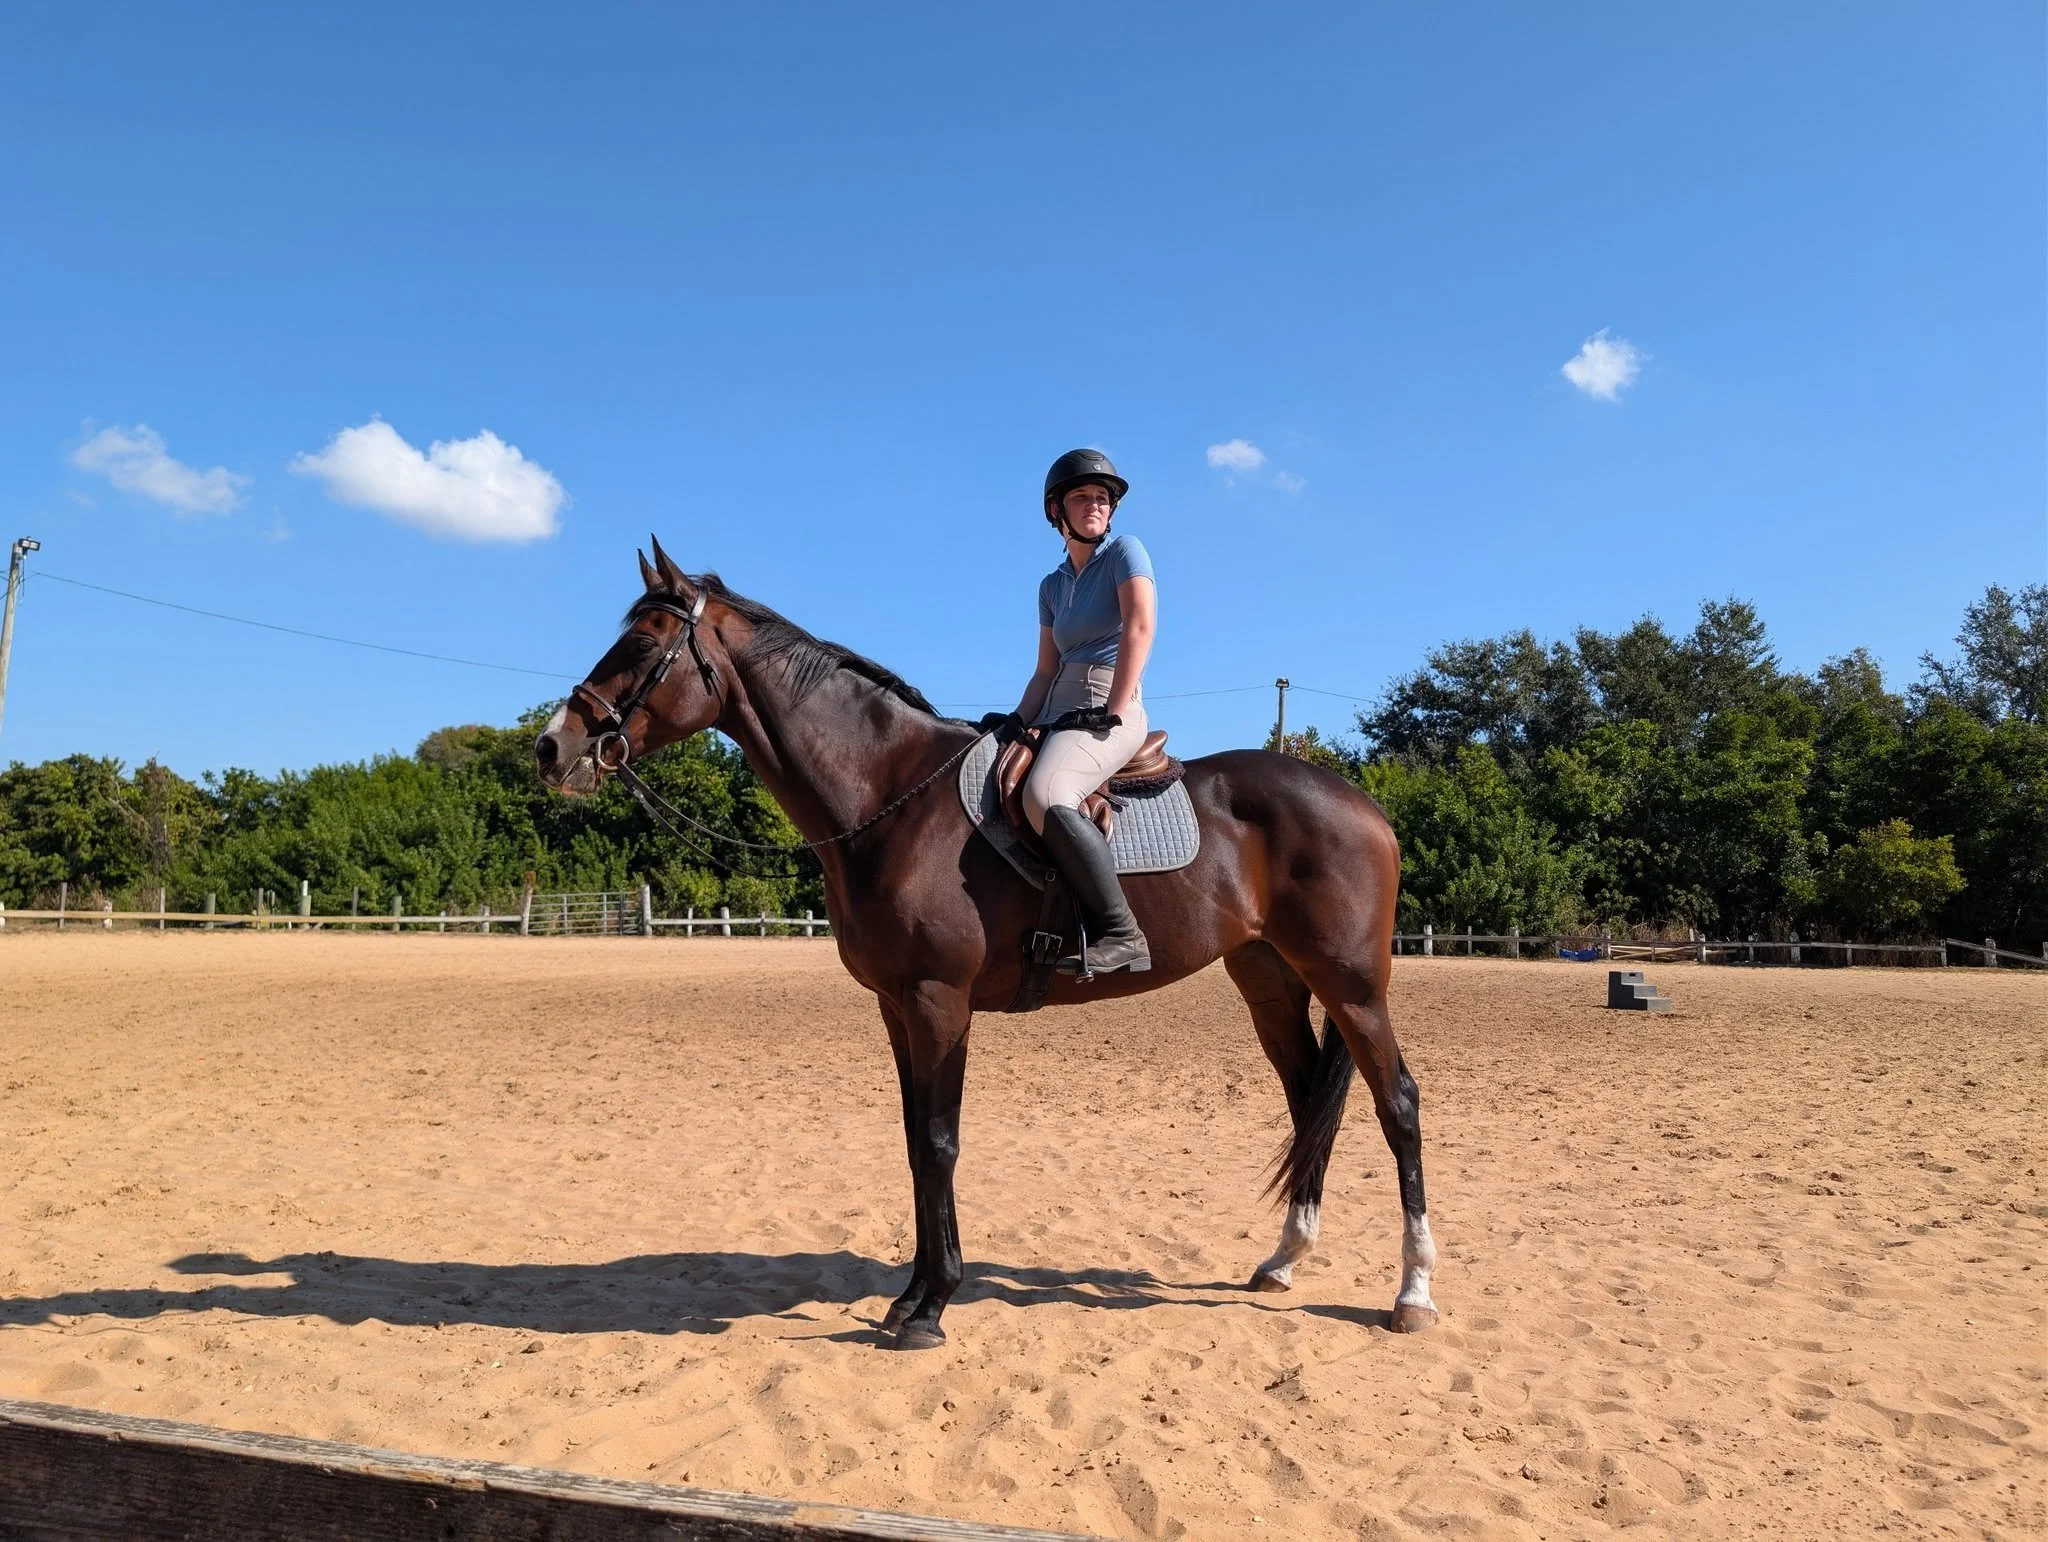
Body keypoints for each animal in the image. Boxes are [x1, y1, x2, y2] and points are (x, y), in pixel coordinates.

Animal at [534, 539, 1438, 1350]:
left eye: (642, 644)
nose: (553, 747)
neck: (892, 796)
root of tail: (1363, 804)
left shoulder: (940, 1001)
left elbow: (940, 1143)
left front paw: (931, 1307)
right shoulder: (897, 1007)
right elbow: (913, 1143)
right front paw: (909, 1295)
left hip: (1352, 985)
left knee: (1397, 1105)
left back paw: (1413, 1294)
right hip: (1271, 982)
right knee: (1308, 1102)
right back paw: (1283, 1261)